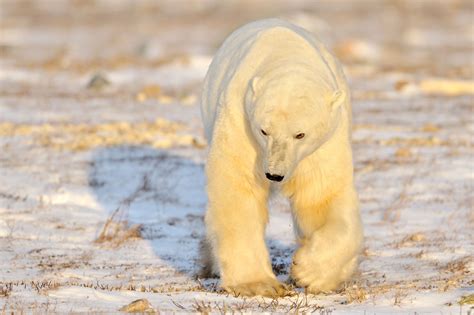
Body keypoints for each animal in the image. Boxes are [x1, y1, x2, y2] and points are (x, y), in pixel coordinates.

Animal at [199, 18, 362, 298]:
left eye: (300, 134)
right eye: (264, 130)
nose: (274, 174)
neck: (286, 55)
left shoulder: (325, 142)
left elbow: (321, 197)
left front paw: (309, 273)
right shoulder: (241, 121)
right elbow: (238, 189)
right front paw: (256, 284)